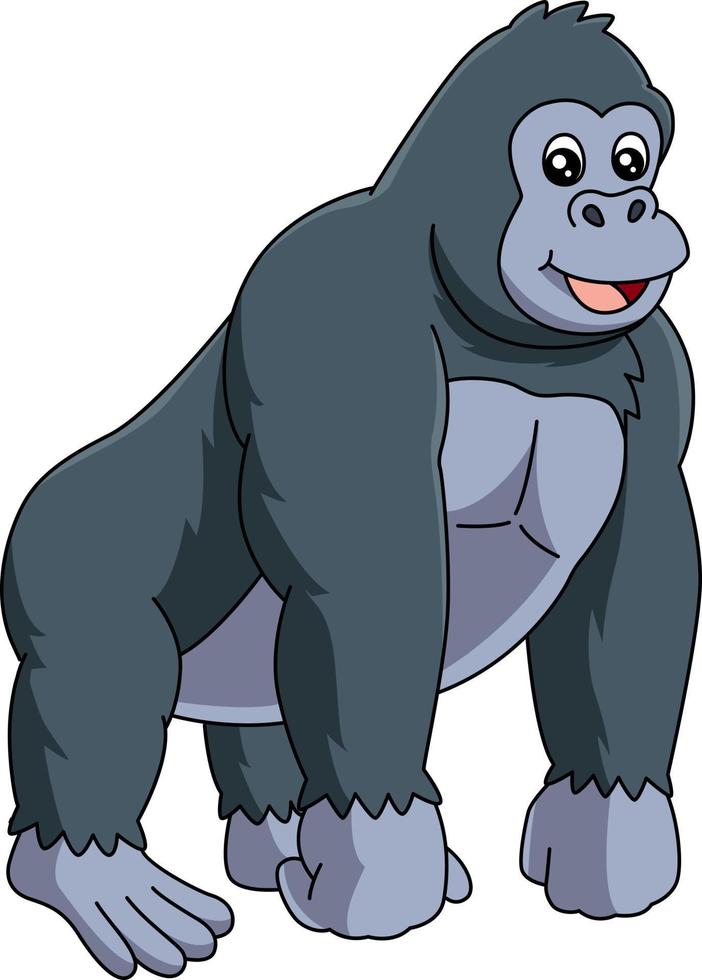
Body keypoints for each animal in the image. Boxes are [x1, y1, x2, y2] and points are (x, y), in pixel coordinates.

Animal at [3, 2, 698, 975]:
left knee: (258, 707)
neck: (515, 344)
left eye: (632, 159)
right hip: (57, 543)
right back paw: (93, 871)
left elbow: (634, 586)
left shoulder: (663, 371)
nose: (624, 206)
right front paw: (385, 858)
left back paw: (270, 834)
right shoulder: (328, 304)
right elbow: (373, 585)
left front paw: (610, 833)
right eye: (564, 165)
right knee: (102, 661)